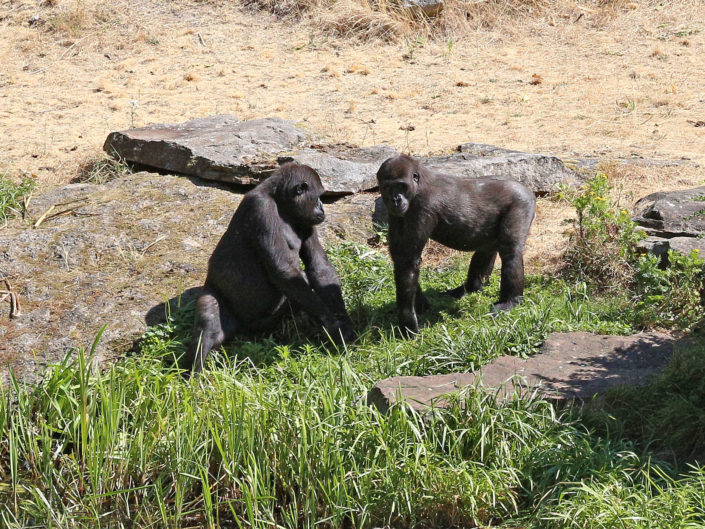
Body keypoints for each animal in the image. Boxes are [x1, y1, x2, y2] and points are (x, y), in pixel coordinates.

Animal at [182, 163, 355, 372]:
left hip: (264, 323)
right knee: (208, 326)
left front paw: (343, 322)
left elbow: (319, 267)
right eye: (319, 196)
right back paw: (193, 370)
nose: (322, 207)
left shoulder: (306, 220)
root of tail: (246, 328)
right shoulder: (260, 208)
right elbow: (283, 270)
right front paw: (333, 325)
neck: (279, 200)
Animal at [376, 155, 536, 336]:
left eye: (401, 186)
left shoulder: (423, 207)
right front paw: (421, 305)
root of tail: (525, 187)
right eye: (388, 187)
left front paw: (407, 322)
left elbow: (408, 261)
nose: (395, 200)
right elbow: (400, 259)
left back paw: (511, 300)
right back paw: (470, 288)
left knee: (511, 250)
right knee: (486, 249)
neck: (418, 185)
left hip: (521, 202)